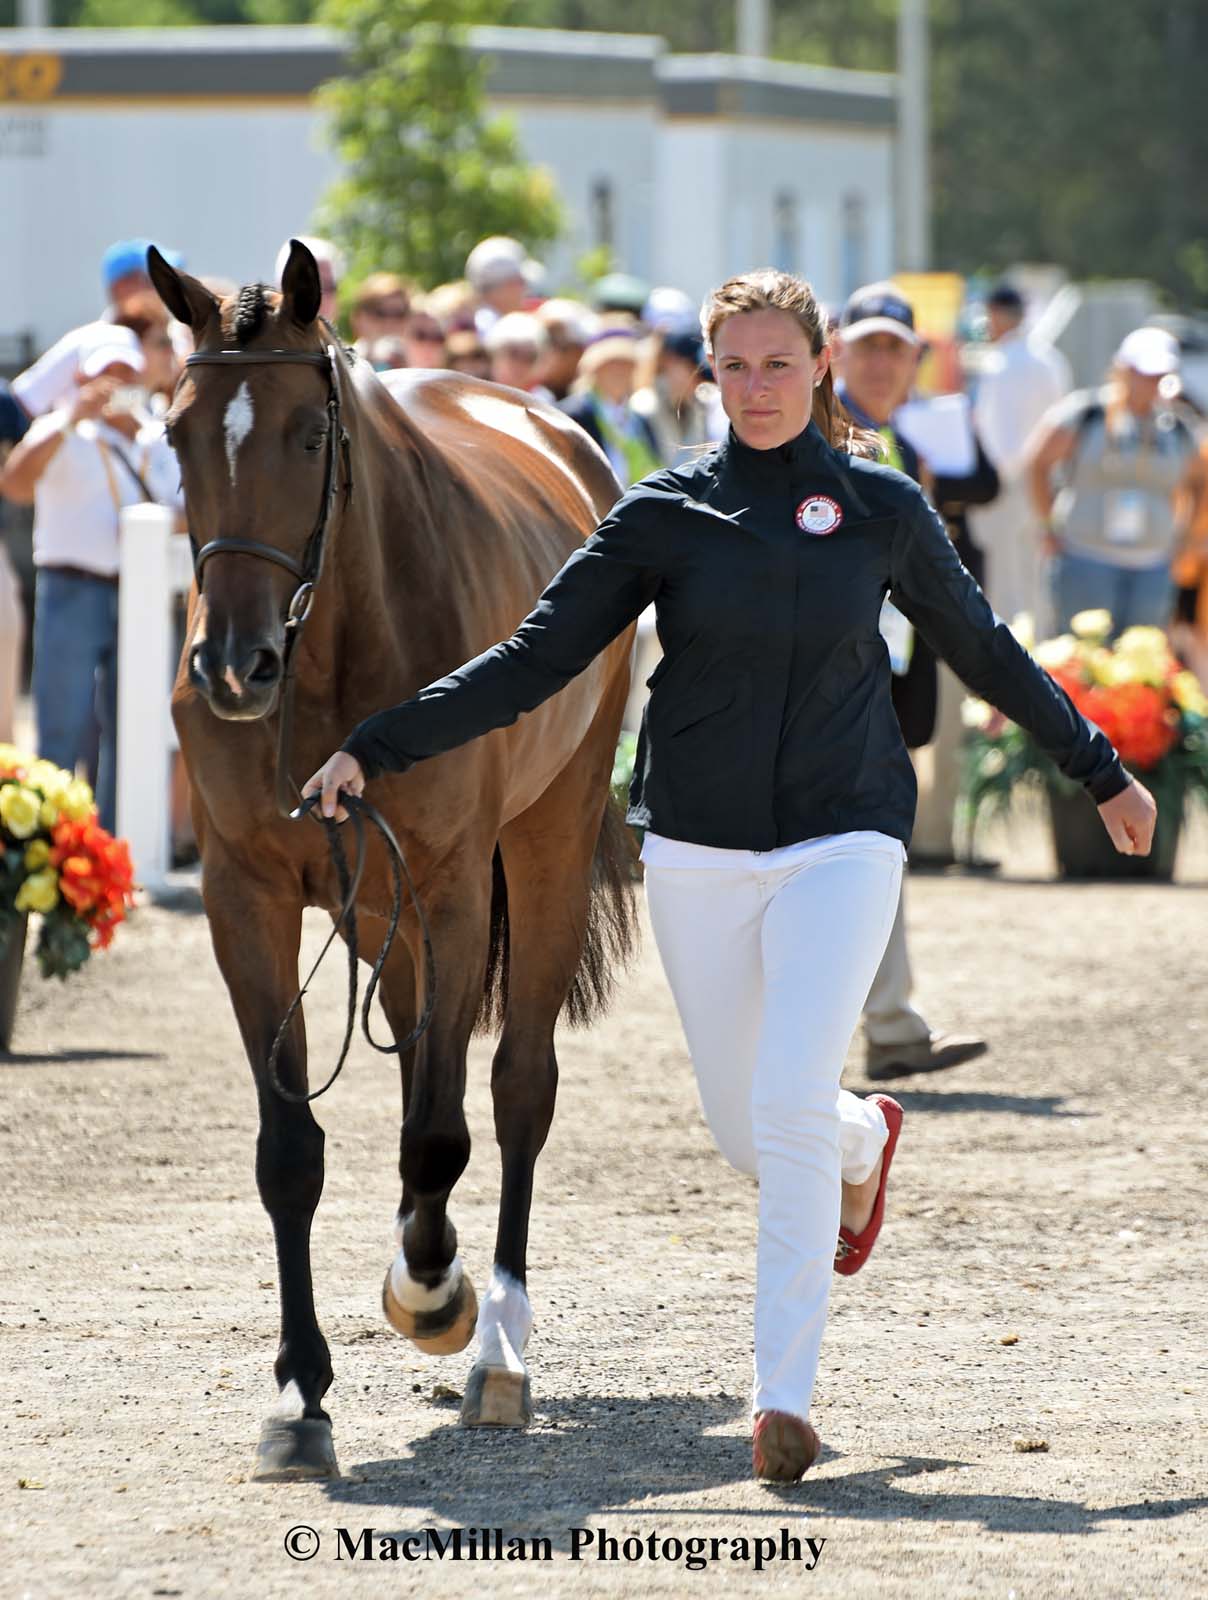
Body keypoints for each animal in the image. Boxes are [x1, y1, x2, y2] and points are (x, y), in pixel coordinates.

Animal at [148, 243, 643, 1478]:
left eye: (305, 436)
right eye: (175, 434)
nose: (231, 666)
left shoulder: (457, 885)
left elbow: (439, 1127)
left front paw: (434, 1296)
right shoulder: (248, 898)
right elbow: (292, 1151)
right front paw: (300, 1394)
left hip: (543, 845)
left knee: (513, 1090)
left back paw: (494, 1342)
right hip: (379, 911)